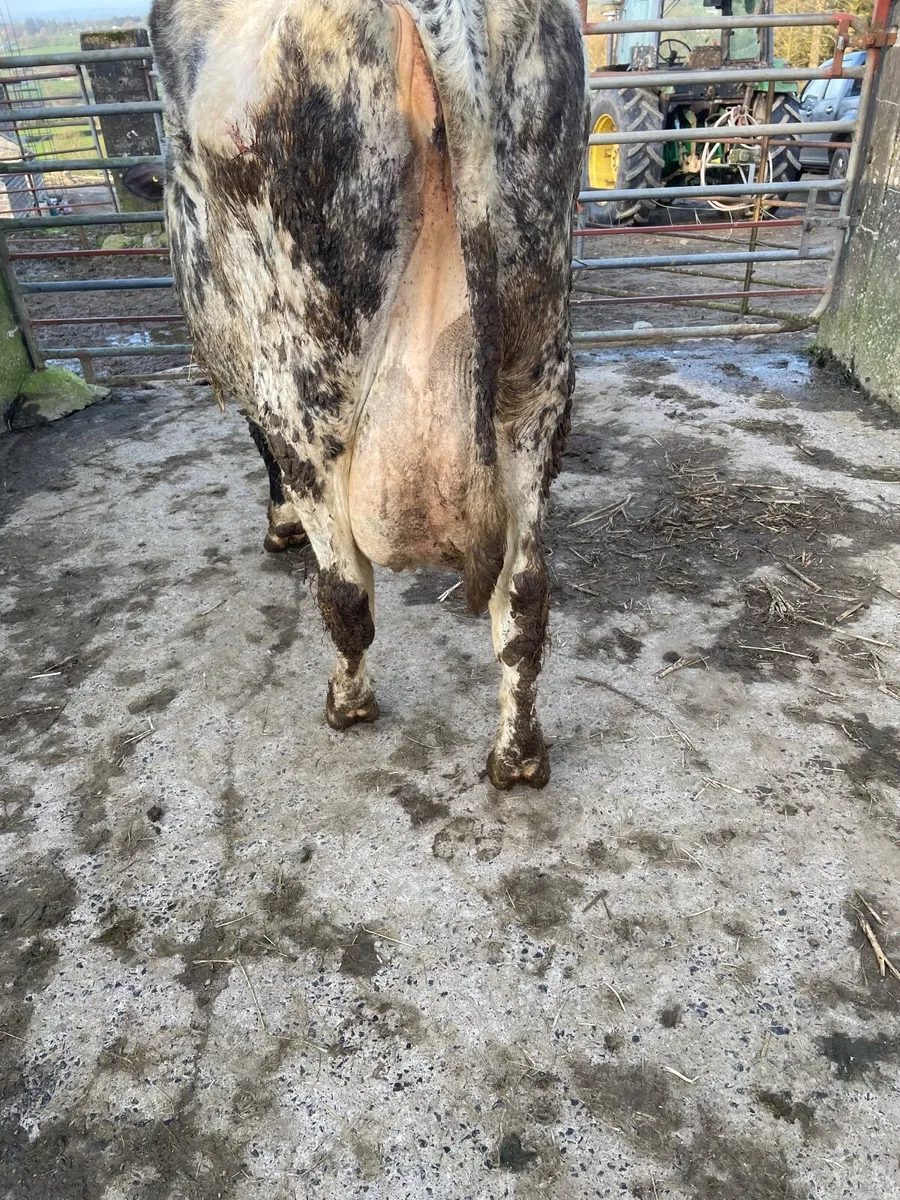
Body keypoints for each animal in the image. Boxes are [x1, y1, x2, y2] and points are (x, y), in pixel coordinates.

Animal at [132, 0, 588, 788]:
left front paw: (278, 525)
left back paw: (348, 703)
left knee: (345, 590)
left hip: (307, 390)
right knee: (527, 595)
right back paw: (518, 757)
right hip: (535, 380)